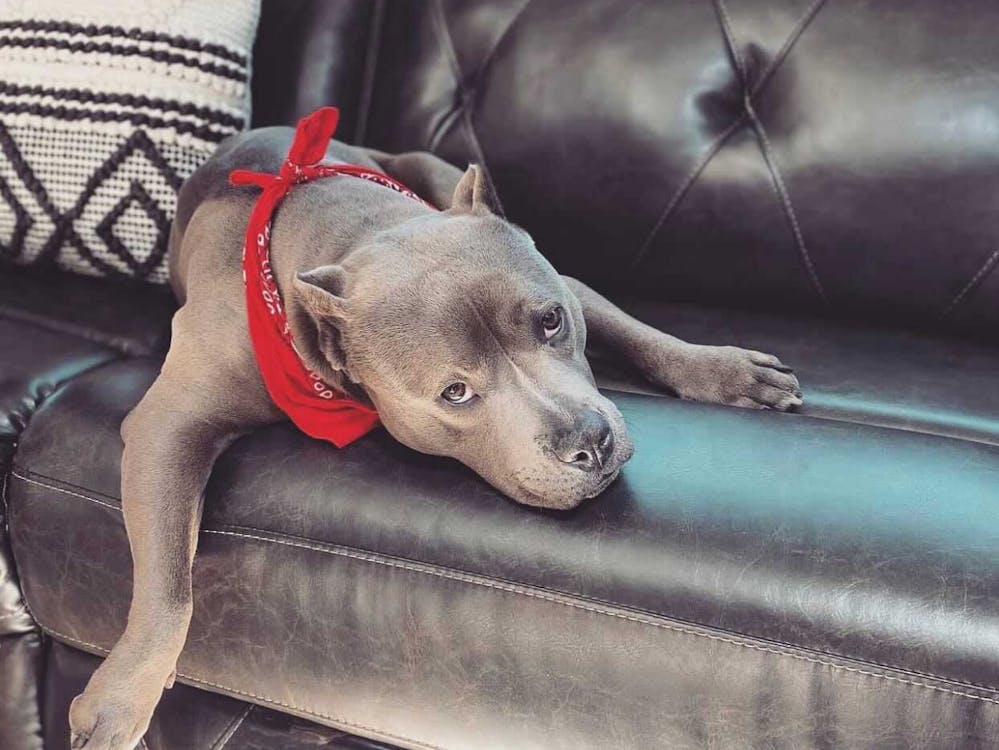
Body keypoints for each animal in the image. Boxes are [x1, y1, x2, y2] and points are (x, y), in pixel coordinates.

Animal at [66, 114, 800, 748]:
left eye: (552, 321)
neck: (345, 237)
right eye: (456, 392)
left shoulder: (567, 283)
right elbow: (167, 580)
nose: (588, 442)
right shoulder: (169, 424)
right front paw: (120, 698)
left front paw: (724, 372)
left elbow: (639, 332)